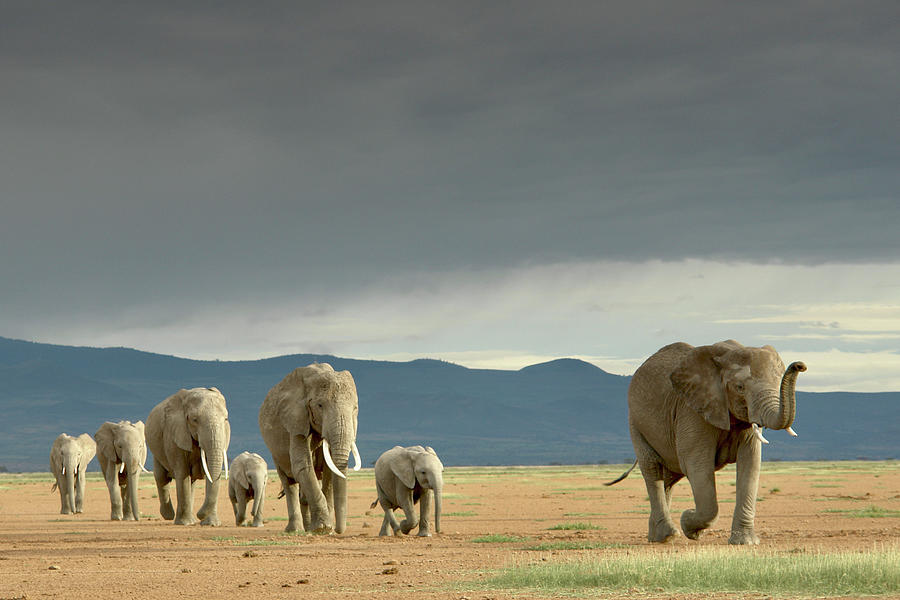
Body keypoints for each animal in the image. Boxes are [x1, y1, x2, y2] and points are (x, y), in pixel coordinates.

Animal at [146, 390, 230, 524]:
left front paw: (212, 524)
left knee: (191, 482)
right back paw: (169, 515)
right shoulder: (174, 434)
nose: (200, 514)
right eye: (194, 420)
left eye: (226, 419)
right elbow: (182, 472)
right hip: (156, 449)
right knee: (161, 477)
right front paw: (185, 523)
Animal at [256, 360, 358, 536]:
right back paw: (295, 529)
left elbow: (329, 470)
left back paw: (307, 528)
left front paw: (326, 529)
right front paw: (323, 529)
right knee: (288, 483)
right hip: (275, 453)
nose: (339, 531)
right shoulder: (295, 420)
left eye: (355, 408)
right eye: (320, 405)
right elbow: (302, 466)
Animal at [604, 342, 808, 544]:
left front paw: (745, 542)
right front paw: (689, 523)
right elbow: (697, 465)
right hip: (635, 423)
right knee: (653, 469)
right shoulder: (691, 411)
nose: (800, 365)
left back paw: (657, 537)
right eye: (740, 387)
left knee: (667, 478)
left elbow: (750, 464)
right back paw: (668, 536)